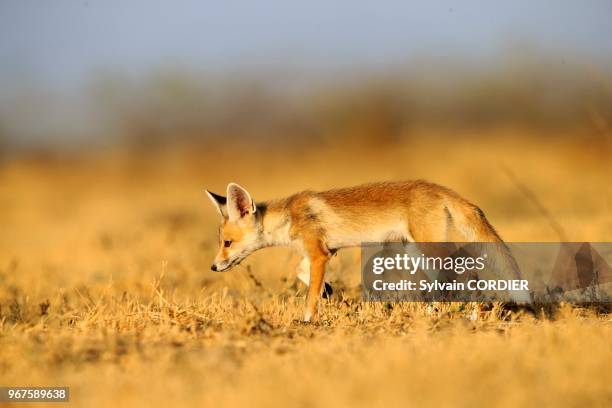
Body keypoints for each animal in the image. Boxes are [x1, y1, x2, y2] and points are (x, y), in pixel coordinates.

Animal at [207, 181, 524, 322]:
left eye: (227, 243)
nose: (213, 267)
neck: (288, 219)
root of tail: (438, 187)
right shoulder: (323, 251)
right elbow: (302, 272)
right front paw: (328, 290)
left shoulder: (319, 253)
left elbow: (309, 297)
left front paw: (307, 321)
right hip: (416, 252)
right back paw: (433, 313)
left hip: (429, 248)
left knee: (466, 271)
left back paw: (470, 315)